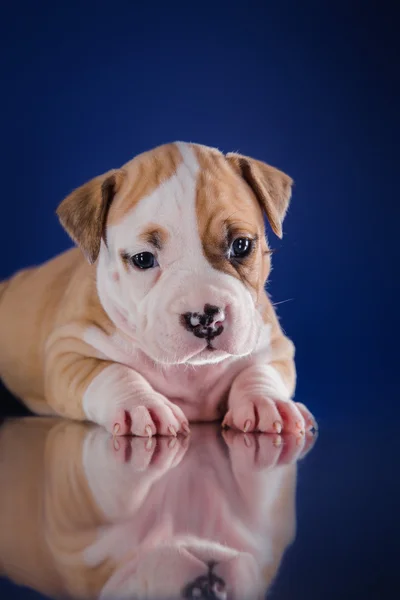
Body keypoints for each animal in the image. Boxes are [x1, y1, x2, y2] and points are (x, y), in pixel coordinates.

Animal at [0, 142, 316, 436]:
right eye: (143, 259)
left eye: (241, 245)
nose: (205, 317)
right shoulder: (68, 353)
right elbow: (112, 372)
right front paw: (140, 403)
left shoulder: (274, 345)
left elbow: (259, 370)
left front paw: (267, 401)